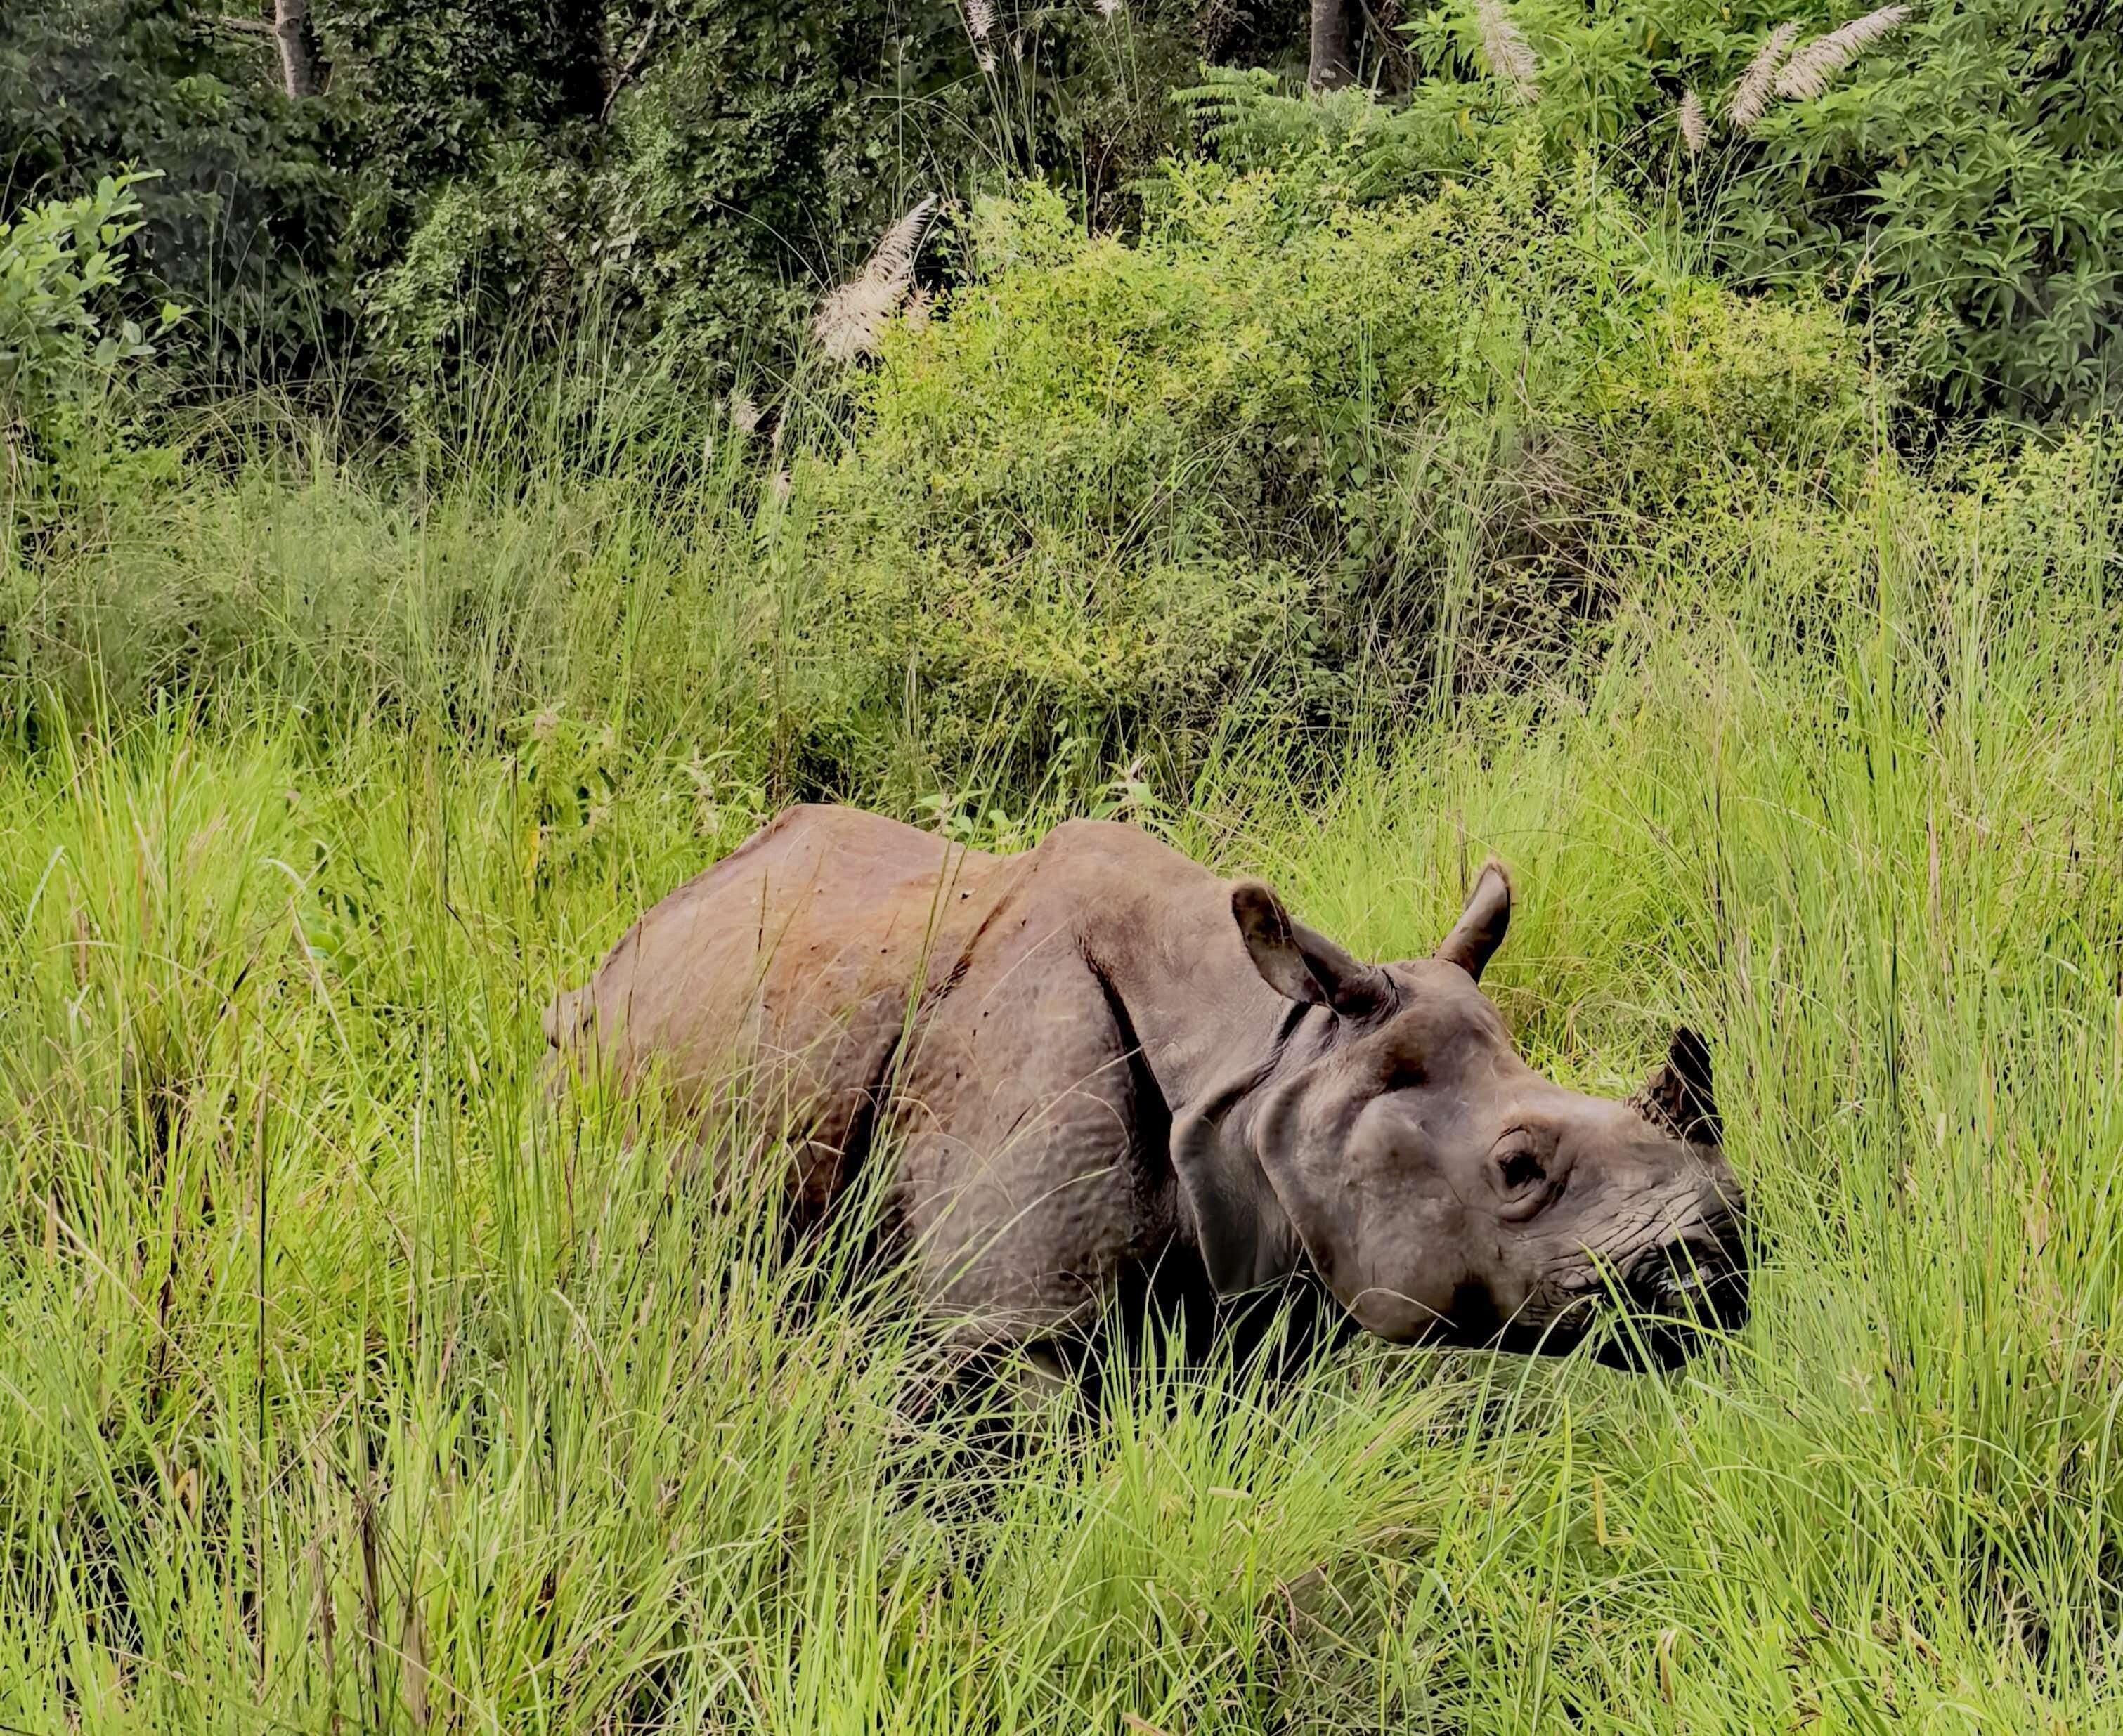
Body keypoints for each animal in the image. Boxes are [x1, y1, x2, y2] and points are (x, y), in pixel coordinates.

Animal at [546, 804, 1748, 1370]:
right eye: (1517, 1166)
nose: (1720, 1267)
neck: (1270, 1058)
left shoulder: (1264, 1282)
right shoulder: (1005, 1323)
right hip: (591, 1053)